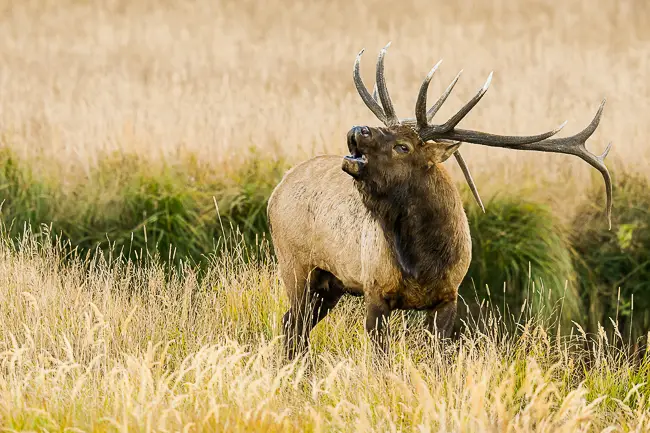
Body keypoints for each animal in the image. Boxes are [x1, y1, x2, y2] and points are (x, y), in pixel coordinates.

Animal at [267, 43, 612, 359]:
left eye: (403, 146)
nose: (358, 129)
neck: (424, 262)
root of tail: (277, 189)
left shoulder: (449, 297)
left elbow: (439, 360)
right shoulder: (375, 291)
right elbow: (382, 362)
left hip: (330, 283)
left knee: (293, 324)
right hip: (295, 265)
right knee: (293, 325)